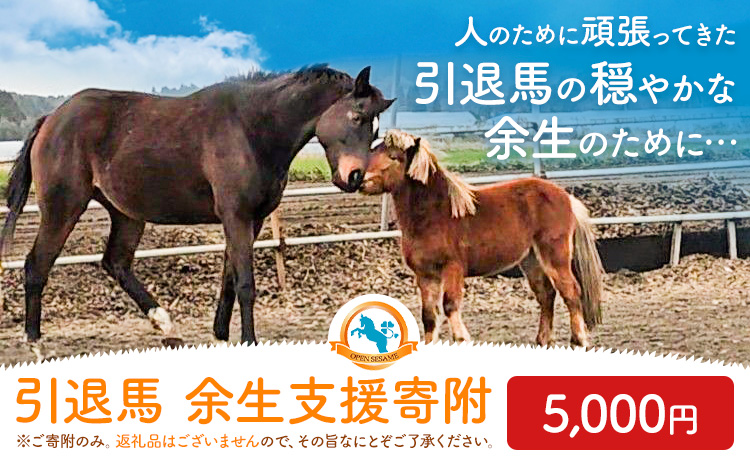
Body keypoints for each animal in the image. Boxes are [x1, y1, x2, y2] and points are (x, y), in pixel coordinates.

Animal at [0, 65, 394, 346]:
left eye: (375, 130)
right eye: (356, 117)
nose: (355, 177)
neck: (252, 128)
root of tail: (51, 119)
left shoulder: (252, 220)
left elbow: (229, 279)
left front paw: (221, 335)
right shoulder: (236, 215)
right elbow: (246, 283)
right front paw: (249, 340)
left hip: (126, 214)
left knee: (115, 262)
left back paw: (164, 323)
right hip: (63, 207)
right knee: (36, 265)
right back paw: (35, 343)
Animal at [359, 130, 604, 347]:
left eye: (394, 157)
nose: (359, 181)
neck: (435, 213)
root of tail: (567, 198)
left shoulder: (453, 269)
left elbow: (450, 306)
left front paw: (462, 339)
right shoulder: (425, 275)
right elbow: (429, 316)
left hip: (555, 257)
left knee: (571, 292)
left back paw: (579, 341)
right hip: (531, 260)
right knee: (546, 295)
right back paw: (543, 340)